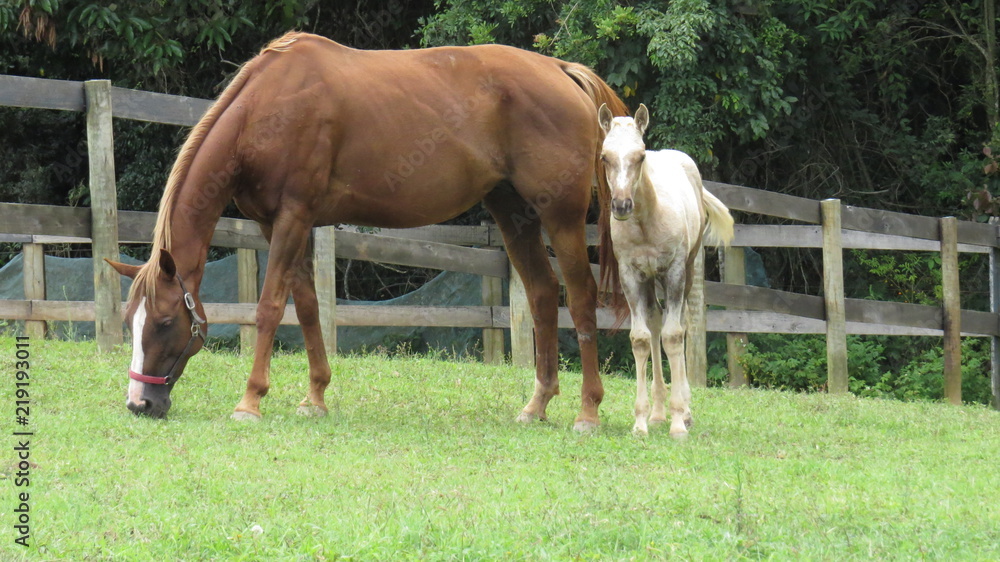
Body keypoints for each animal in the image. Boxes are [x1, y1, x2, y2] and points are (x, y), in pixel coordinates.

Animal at [106, 32, 629, 431]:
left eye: (165, 322)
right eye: (129, 320)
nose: (139, 403)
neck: (268, 108)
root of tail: (560, 69)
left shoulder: (292, 218)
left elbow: (270, 307)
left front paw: (250, 401)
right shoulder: (280, 224)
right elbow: (308, 306)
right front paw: (315, 397)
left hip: (560, 217)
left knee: (580, 299)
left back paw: (588, 412)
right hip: (513, 212)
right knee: (541, 294)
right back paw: (536, 406)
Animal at [598, 103, 734, 437]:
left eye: (640, 156)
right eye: (605, 156)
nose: (622, 205)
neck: (647, 222)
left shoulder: (673, 272)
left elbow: (674, 336)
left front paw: (678, 423)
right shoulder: (630, 275)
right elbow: (641, 338)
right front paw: (641, 422)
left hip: (687, 268)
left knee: (681, 323)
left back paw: (684, 411)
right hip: (650, 279)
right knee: (656, 320)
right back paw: (658, 413)